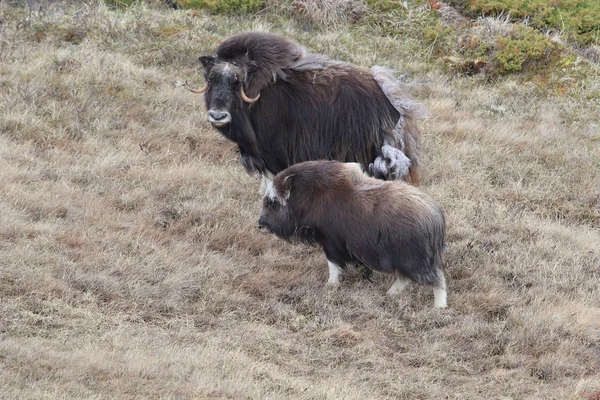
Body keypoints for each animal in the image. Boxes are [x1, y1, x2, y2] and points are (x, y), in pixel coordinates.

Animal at [256, 161, 446, 308]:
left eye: (273, 202)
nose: (260, 225)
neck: (310, 197)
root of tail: (434, 217)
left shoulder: (331, 242)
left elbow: (333, 264)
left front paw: (331, 285)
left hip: (414, 260)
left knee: (437, 279)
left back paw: (439, 306)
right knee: (405, 278)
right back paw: (390, 293)